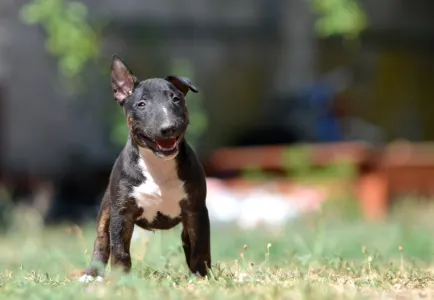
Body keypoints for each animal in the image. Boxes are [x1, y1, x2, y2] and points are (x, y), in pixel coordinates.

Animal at [81, 55, 212, 282]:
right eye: (141, 104)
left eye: (176, 99)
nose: (168, 127)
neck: (157, 164)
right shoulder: (121, 213)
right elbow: (119, 249)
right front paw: (121, 279)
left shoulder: (196, 210)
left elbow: (200, 247)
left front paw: (200, 276)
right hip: (106, 208)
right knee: (101, 241)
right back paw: (92, 274)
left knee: (190, 242)